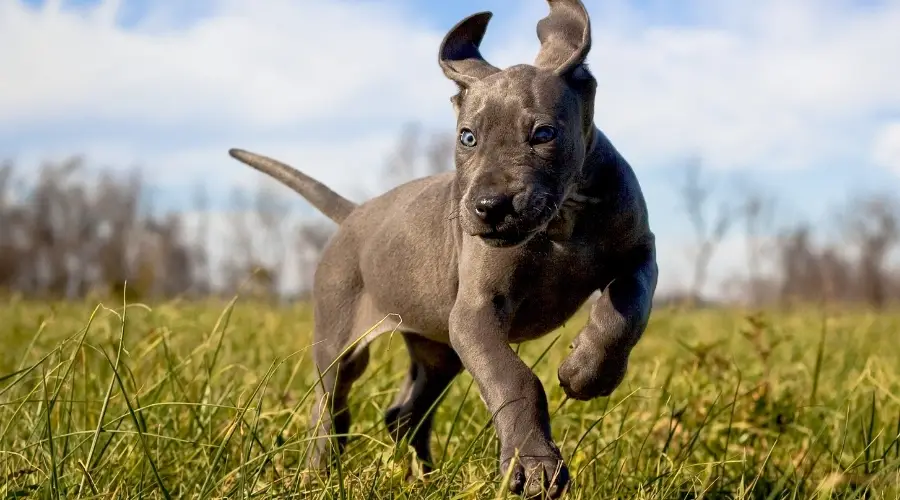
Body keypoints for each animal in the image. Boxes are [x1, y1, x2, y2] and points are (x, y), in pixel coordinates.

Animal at [229, 0, 656, 496]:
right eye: (467, 137)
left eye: (543, 134)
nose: (489, 207)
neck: (562, 220)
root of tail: (354, 214)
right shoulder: (474, 312)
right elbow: (514, 378)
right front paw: (534, 465)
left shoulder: (641, 254)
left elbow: (627, 311)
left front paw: (587, 371)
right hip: (341, 339)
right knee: (330, 407)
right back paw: (318, 476)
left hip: (438, 350)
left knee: (405, 415)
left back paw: (426, 479)